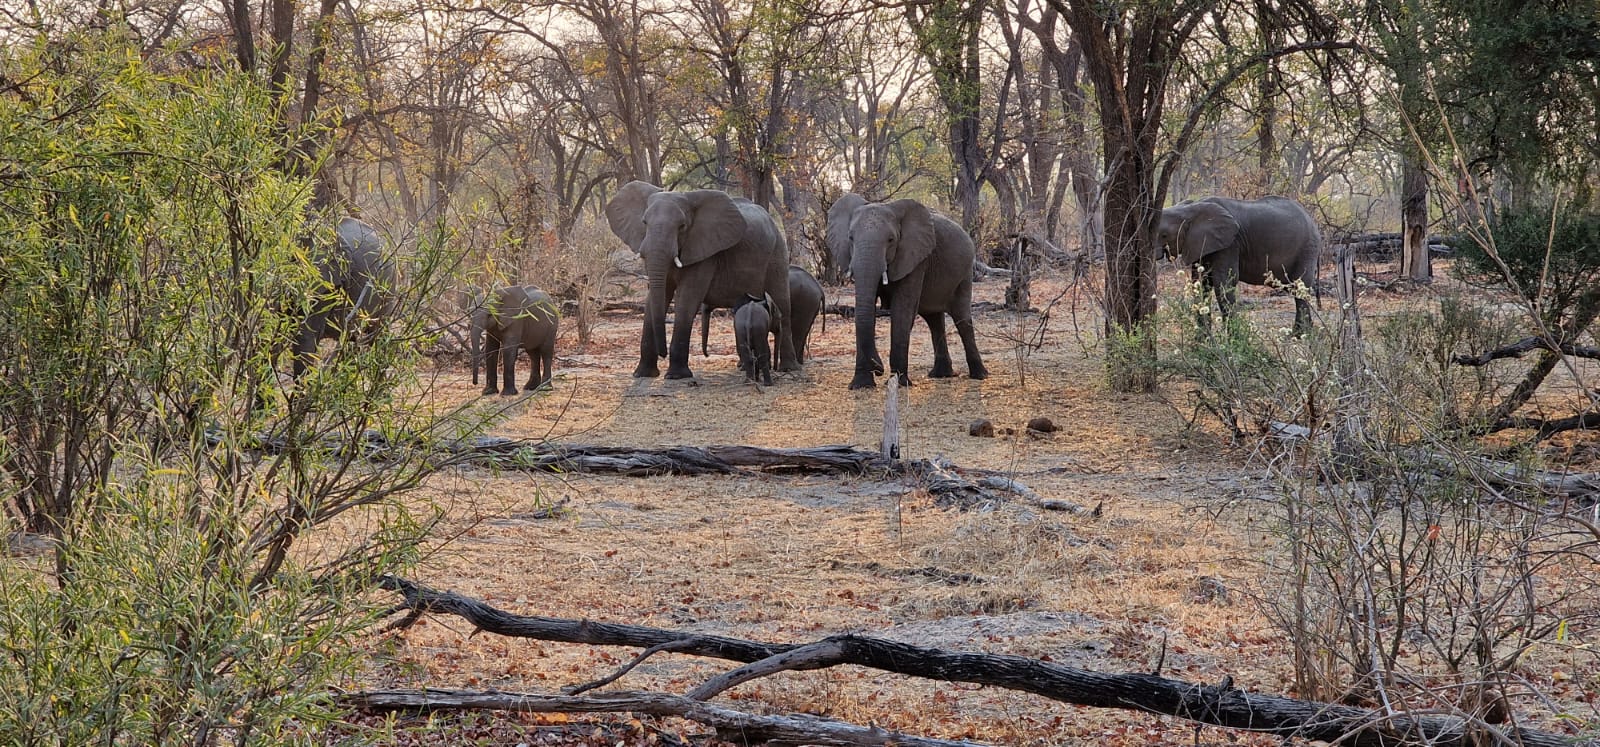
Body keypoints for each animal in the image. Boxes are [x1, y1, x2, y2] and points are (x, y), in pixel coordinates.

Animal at [605, 181, 793, 380]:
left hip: (777, 253)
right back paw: (744, 367)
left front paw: (676, 376)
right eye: (644, 223)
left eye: (682, 226)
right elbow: (657, 296)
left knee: (782, 303)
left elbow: (687, 298)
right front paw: (643, 374)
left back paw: (789, 368)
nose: (663, 354)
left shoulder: (705, 252)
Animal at [825, 194, 988, 390]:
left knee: (961, 319)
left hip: (965, 274)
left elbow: (902, 310)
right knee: (934, 320)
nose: (879, 368)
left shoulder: (916, 259)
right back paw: (941, 374)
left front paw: (899, 383)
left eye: (890, 240)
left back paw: (980, 376)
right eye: (850, 238)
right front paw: (861, 385)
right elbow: (866, 309)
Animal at [1152, 196, 1322, 335]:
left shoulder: (1231, 243)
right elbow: (1200, 283)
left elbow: (1223, 282)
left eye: (1164, 235)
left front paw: (1232, 339)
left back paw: (1299, 335)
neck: (1190, 209)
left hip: (1307, 248)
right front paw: (1202, 341)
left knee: (1300, 288)